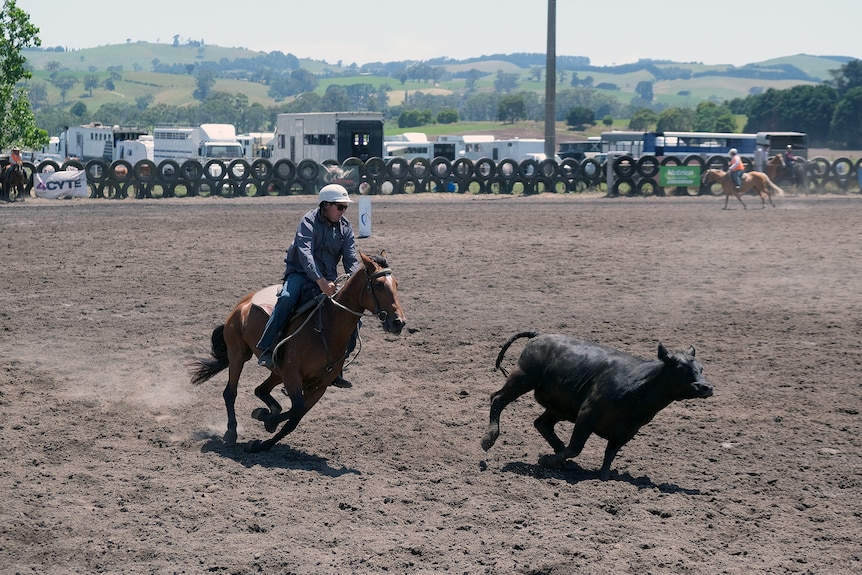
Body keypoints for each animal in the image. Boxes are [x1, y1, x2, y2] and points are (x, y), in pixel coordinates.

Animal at [191, 250, 406, 452]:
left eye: (396, 284)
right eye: (378, 284)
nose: (399, 322)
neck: (326, 327)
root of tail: (243, 303)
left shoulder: (319, 386)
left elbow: (295, 418)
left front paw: (262, 439)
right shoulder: (292, 374)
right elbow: (296, 409)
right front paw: (266, 422)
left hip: (277, 371)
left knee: (260, 389)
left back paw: (269, 411)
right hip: (238, 354)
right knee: (230, 392)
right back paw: (231, 432)